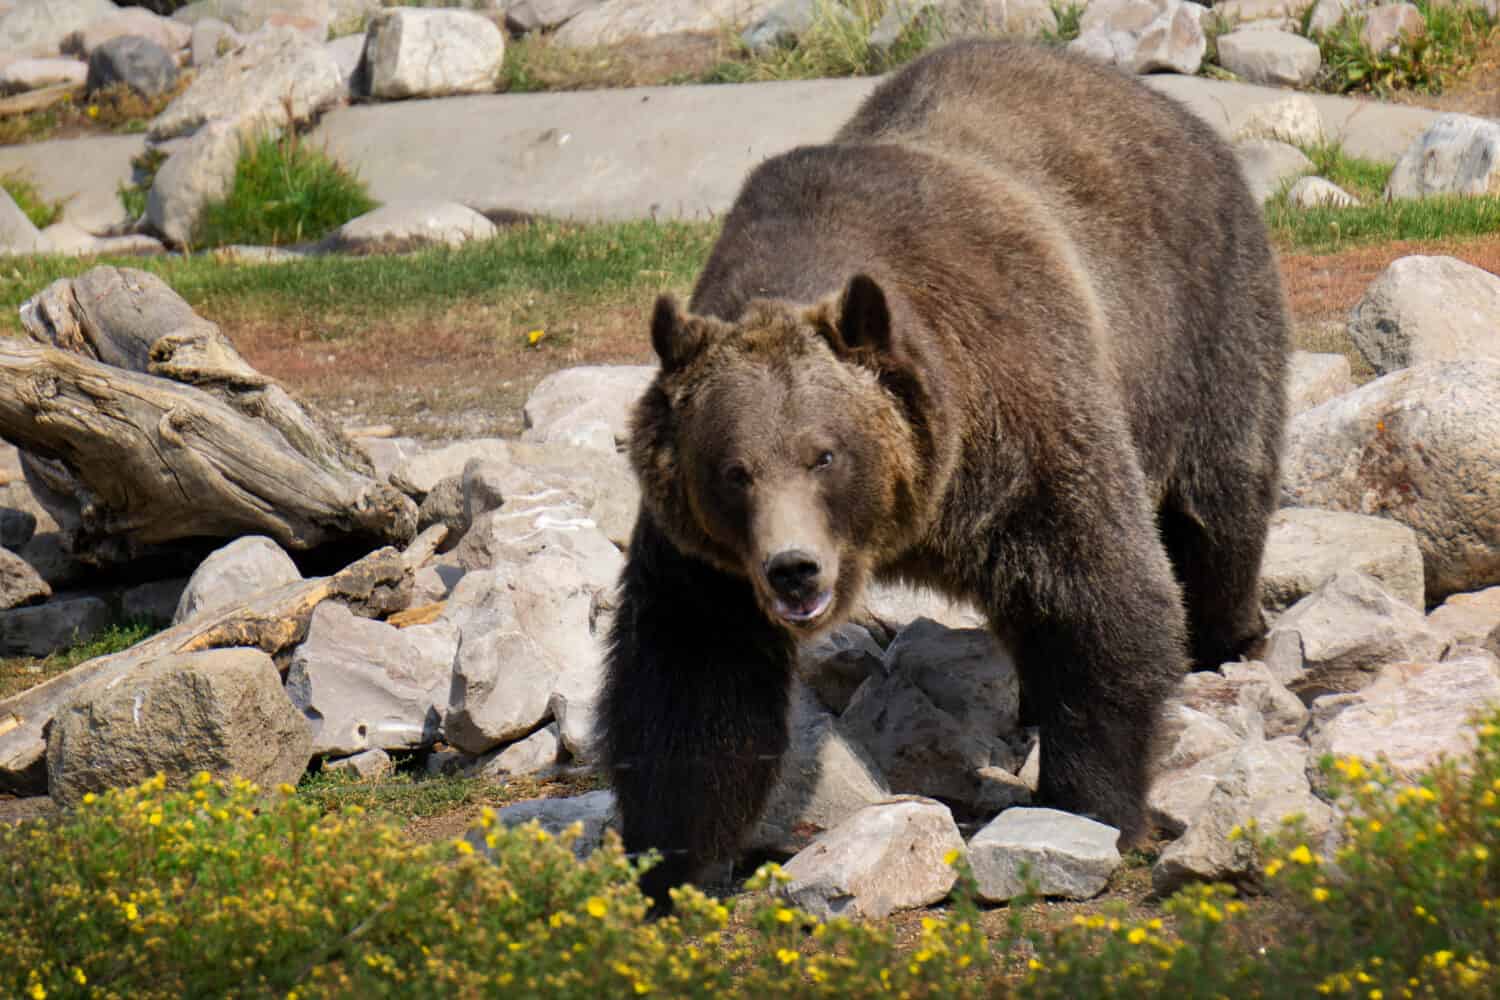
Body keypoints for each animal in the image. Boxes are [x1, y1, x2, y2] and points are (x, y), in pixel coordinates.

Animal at [597, 39, 1290, 911]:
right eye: (733, 471)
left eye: (825, 453)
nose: (793, 570)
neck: (911, 518)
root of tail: (1152, 97)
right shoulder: (708, 561)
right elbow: (690, 675)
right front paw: (671, 864)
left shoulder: (1021, 430)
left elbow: (1102, 594)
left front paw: (1087, 805)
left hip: (1198, 321)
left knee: (1217, 508)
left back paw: (1227, 636)